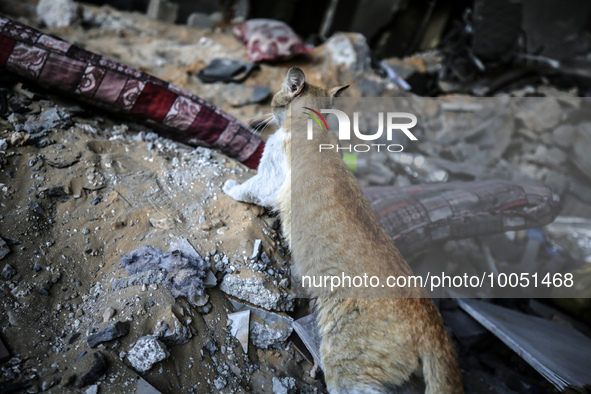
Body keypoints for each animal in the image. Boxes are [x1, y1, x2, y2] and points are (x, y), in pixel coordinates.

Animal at [224, 68, 464, 394]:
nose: (269, 110)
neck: (315, 125)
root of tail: (434, 328)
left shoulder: (269, 179)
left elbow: (247, 188)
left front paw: (229, 186)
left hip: (347, 367)